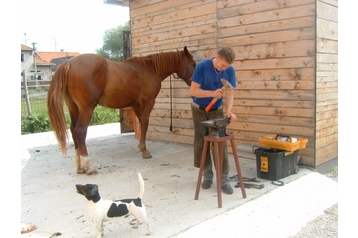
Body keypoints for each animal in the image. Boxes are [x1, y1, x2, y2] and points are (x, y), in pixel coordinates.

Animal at [47, 46, 196, 175]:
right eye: (193, 64)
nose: (193, 83)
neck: (150, 68)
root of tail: (68, 64)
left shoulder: (136, 104)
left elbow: (141, 124)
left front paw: (141, 147)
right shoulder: (148, 102)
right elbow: (145, 124)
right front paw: (145, 151)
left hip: (73, 108)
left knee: (73, 130)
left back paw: (79, 167)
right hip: (86, 108)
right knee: (80, 131)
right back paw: (88, 166)